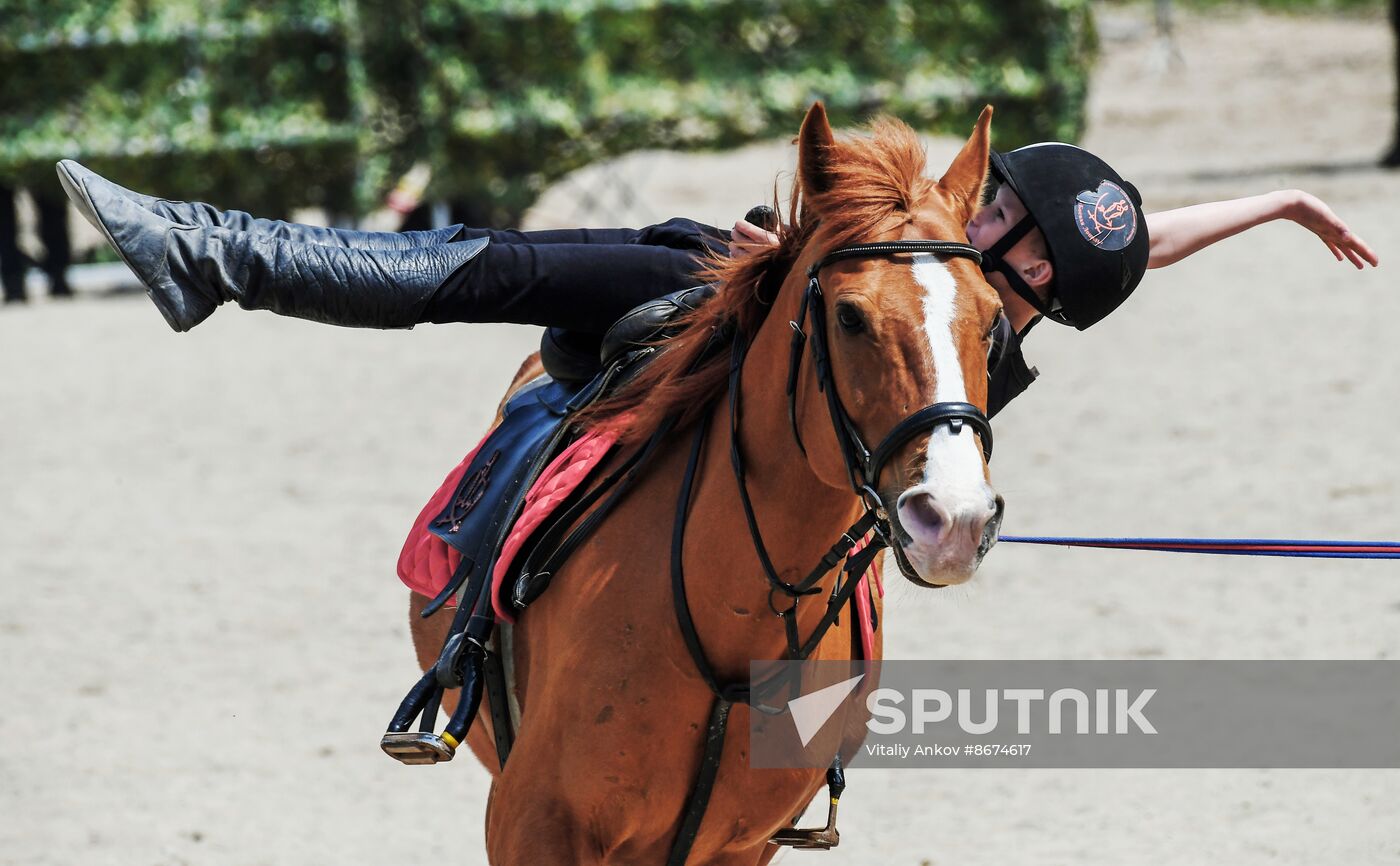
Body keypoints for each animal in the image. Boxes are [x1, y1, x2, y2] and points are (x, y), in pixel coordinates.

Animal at [406, 104, 1008, 861]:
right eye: (849, 316)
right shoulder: (532, 825)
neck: (736, 620)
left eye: (994, 321)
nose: (953, 520)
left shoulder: (739, 845)